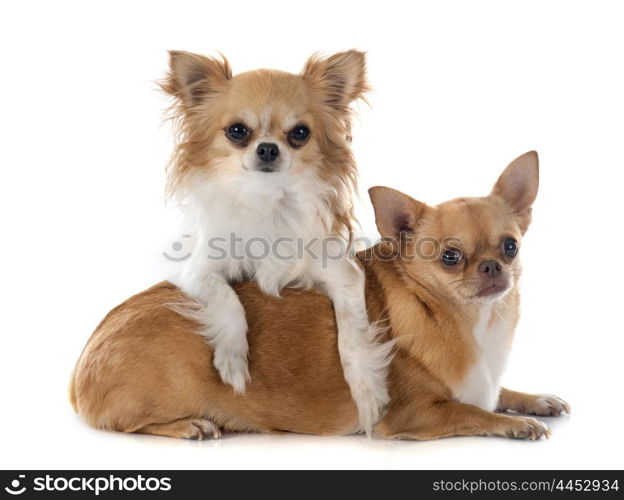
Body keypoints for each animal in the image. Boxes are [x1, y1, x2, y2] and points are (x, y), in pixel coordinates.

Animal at [72, 150, 572, 440]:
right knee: (131, 425)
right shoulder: (410, 417)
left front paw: (536, 401)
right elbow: (474, 412)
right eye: (450, 257)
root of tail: (80, 368)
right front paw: (516, 424)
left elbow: (496, 393)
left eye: (510, 246)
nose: (492, 266)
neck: (473, 320)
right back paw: (190, 425)